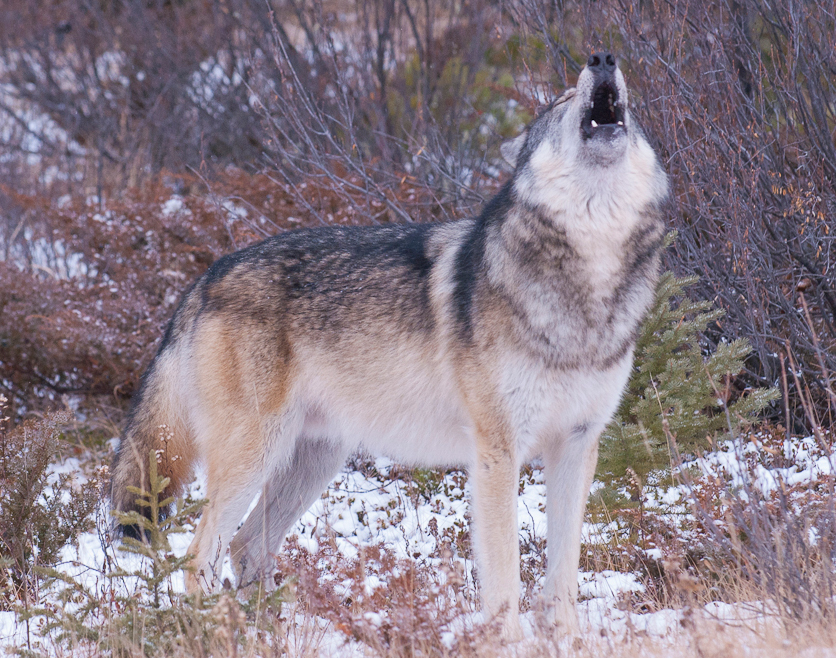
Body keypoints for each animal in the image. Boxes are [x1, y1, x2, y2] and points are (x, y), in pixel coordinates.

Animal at [111, 52, 668, 636]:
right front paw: (509, 641)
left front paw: (569, 641)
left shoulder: (578, 446)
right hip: (254, 457)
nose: (602, 59)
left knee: (245, 550)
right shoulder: (497, 452)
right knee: (197, 559)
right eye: (561, 98)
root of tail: (206, 276)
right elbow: (506, 580)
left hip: (312, 462)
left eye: (627, 102)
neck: (589, 280)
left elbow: (562, 577)